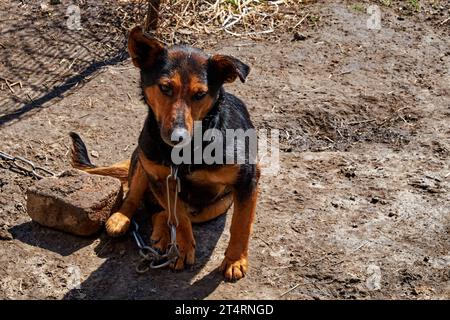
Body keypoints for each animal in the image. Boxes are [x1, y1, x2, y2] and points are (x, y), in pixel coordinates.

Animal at [70, 26, 260, 282]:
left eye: (200, 94)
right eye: (165, 87)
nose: (178, 136)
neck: (187, 151)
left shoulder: (248, 179)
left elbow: (241, 225)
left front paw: (235, 260)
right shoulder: (162, 177)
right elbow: (177, 216)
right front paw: (182, 247)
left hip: (215, 206)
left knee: (164, 212)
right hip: (142, 158)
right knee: (138, 197)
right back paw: (124, 219)